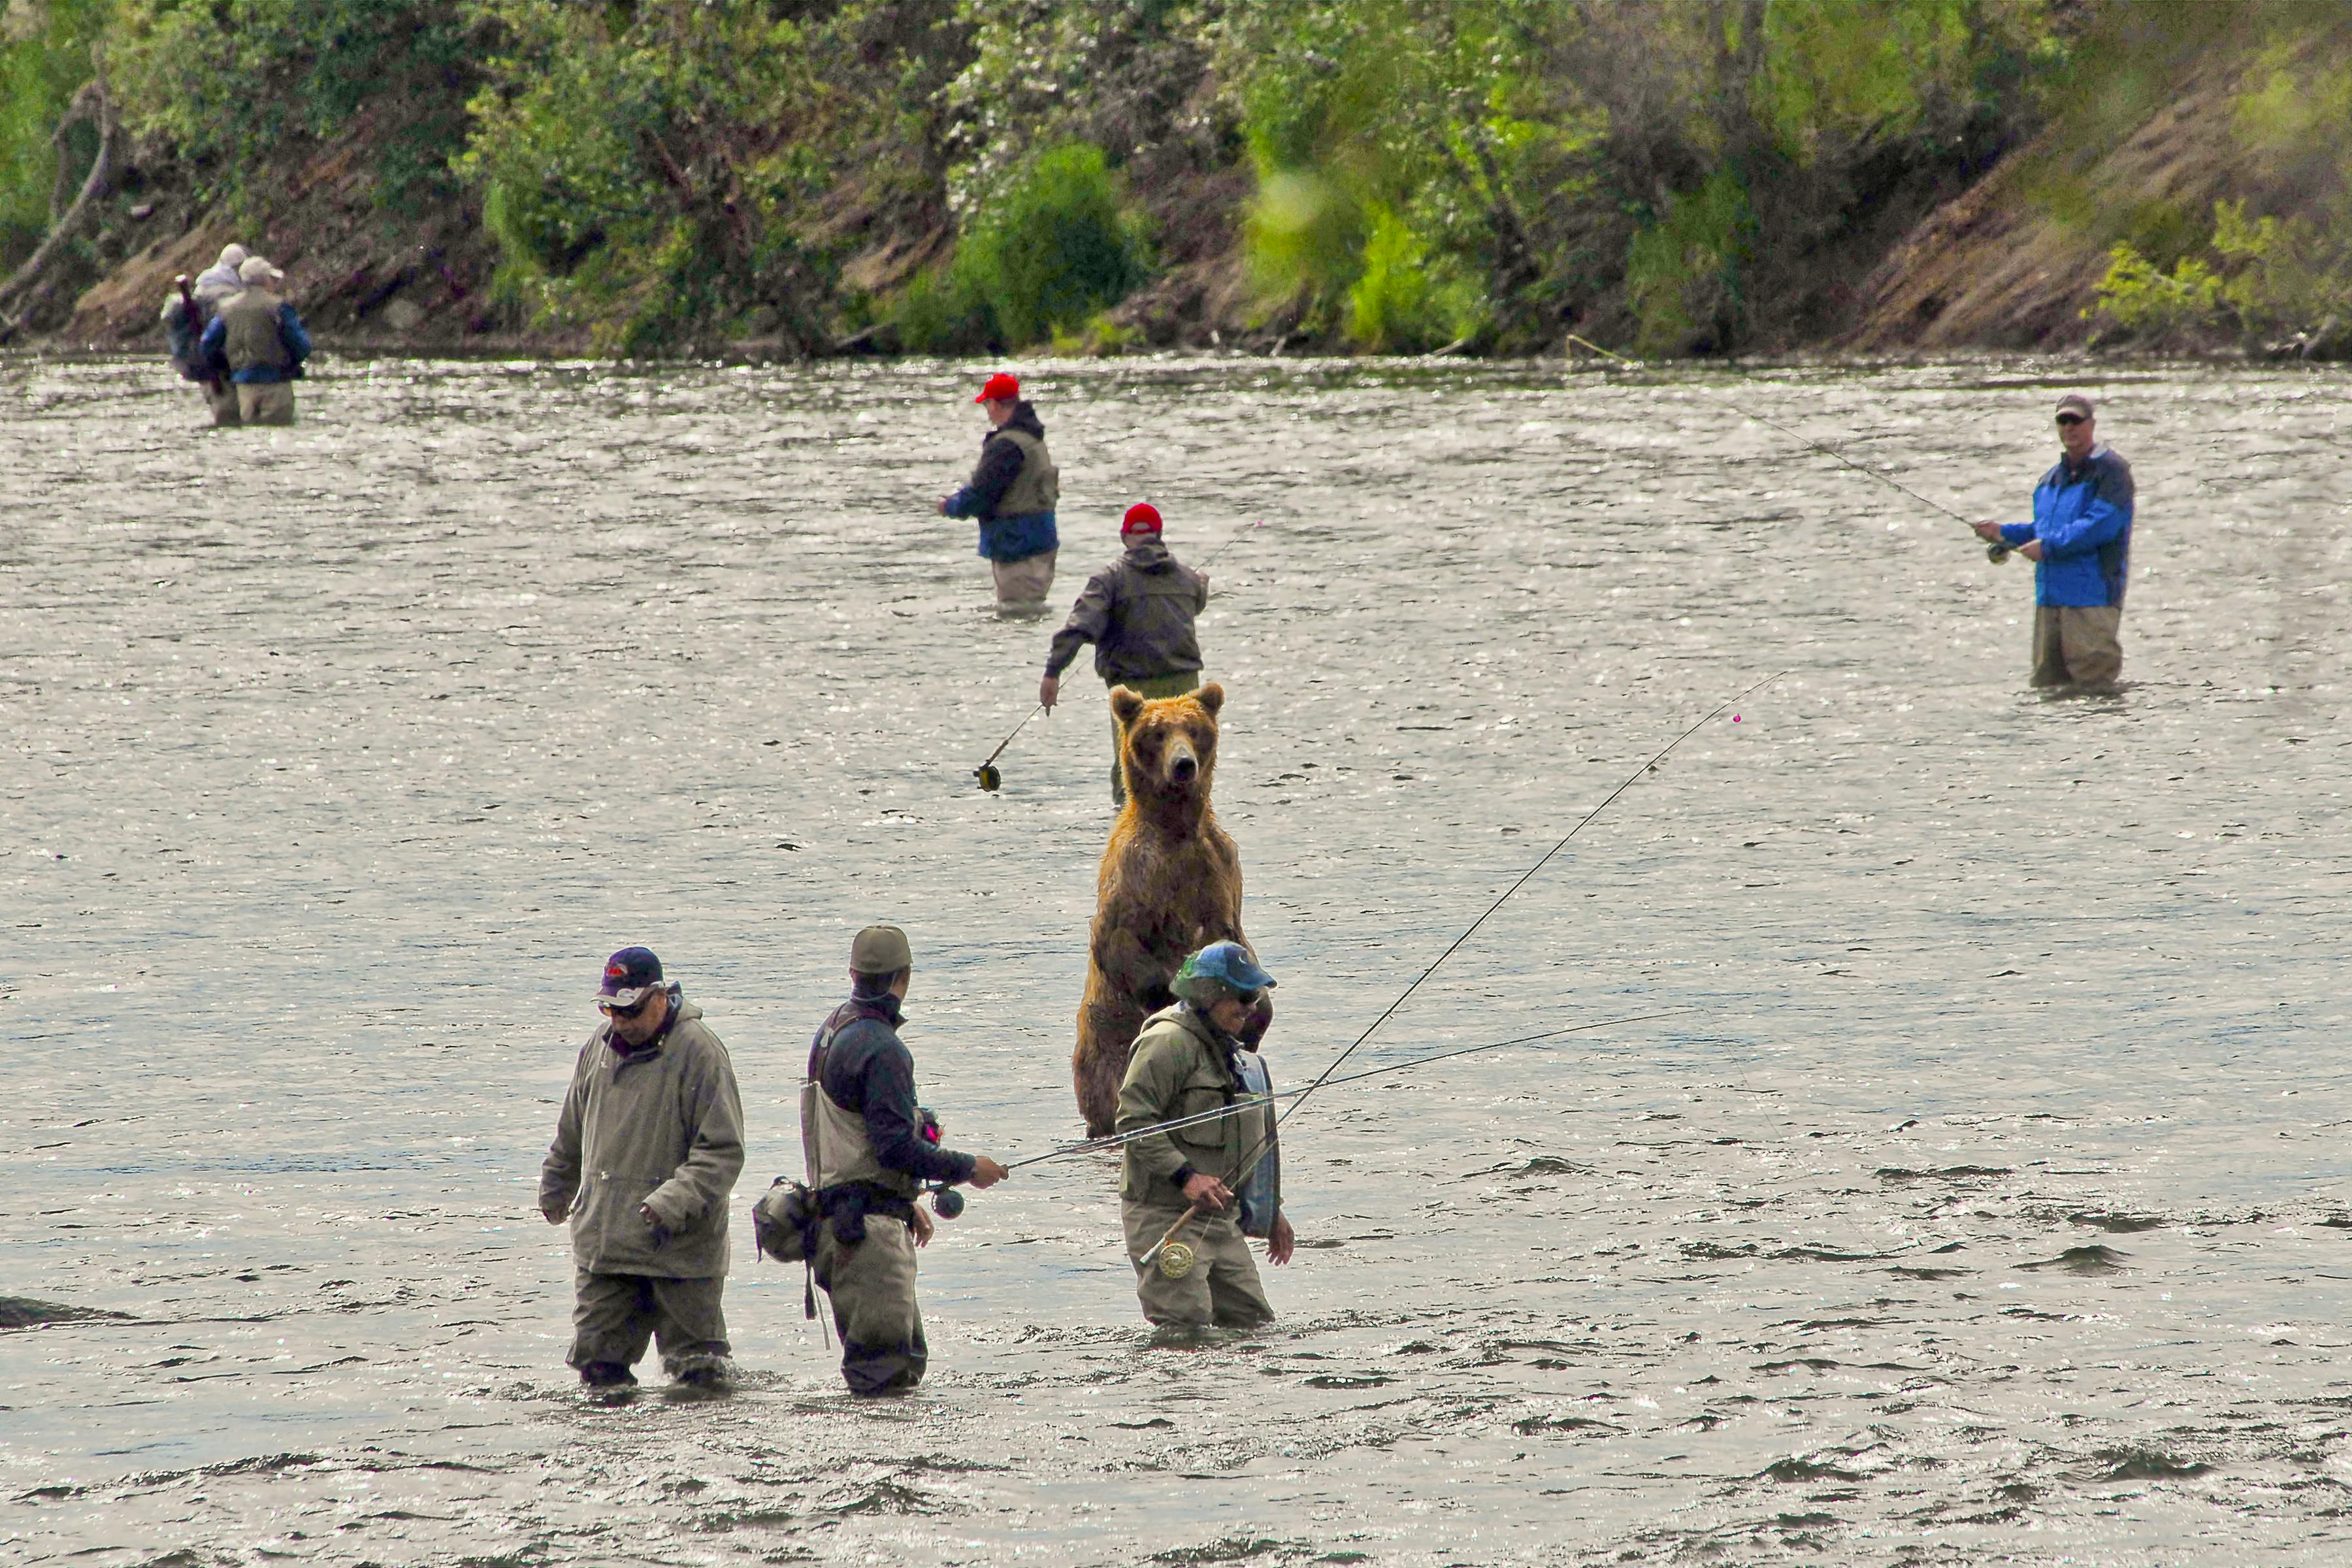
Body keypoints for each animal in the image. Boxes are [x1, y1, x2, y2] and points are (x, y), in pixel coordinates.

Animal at [1071, 681, 1272, 1137]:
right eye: (1157, 732)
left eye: (1194, 729)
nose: (1183, 765)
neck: (1175, 830)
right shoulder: (1138, 874)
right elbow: (1120, 940)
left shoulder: (1218, 872)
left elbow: (1235, 942)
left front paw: (1257, 1012)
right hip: (1103, 1050)